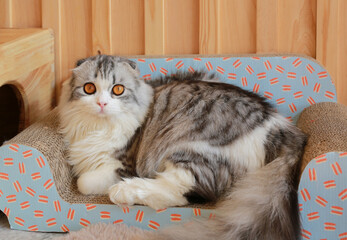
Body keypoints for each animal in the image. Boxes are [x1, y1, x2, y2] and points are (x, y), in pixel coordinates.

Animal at [59, 54, 308, 240]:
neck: (97, 127)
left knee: (183, 192)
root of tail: (282, 129)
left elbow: (83, 182)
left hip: (190, 151)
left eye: (117, 90)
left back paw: (124, 191)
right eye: (89, 88)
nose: (102, 103)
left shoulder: (122, 165)